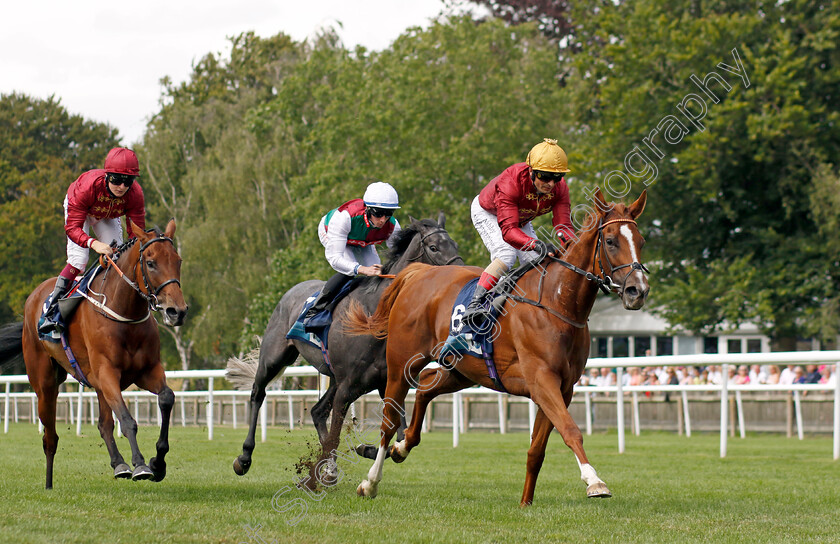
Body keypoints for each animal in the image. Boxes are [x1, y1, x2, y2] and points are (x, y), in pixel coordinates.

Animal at [0, 219, 185, 490]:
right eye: (150, 262)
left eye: (178, 260)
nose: (177, 311)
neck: (124, 313)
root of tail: (34, 298)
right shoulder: (107, 372)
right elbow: (127, 420)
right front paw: (141, 465)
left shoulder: (146, 371)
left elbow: (166, 398)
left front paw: (157, 463)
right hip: (45, 383)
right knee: (50, 437)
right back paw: (49, 483)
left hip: (96, 384)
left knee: (103, 424)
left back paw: (119, 465)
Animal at [230, 215, 462, 474]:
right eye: (433, 248)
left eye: (455, 245)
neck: (374, 317)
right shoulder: (348, 386)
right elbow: (341, 434)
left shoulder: (382, 382)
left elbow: (397, 441)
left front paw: (364, 450)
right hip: (274, 358)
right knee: (258, 393)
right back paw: (245, 457)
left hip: (335, 378)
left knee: (317, 411)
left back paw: (329, 464)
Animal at [342, 189, 648, 504]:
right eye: (610, 241)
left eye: (641, 241)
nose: (638, 291)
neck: (556, 302)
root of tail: (417, 272)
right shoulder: (542, 380)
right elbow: (570, 430)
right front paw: (594, 481)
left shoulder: (563, 387)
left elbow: (537, 449)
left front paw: (526, 502)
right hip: (401, 364)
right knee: (389, 421)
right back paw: (370, 482)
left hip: (463, 369)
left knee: (426, 386)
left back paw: (402, 447)